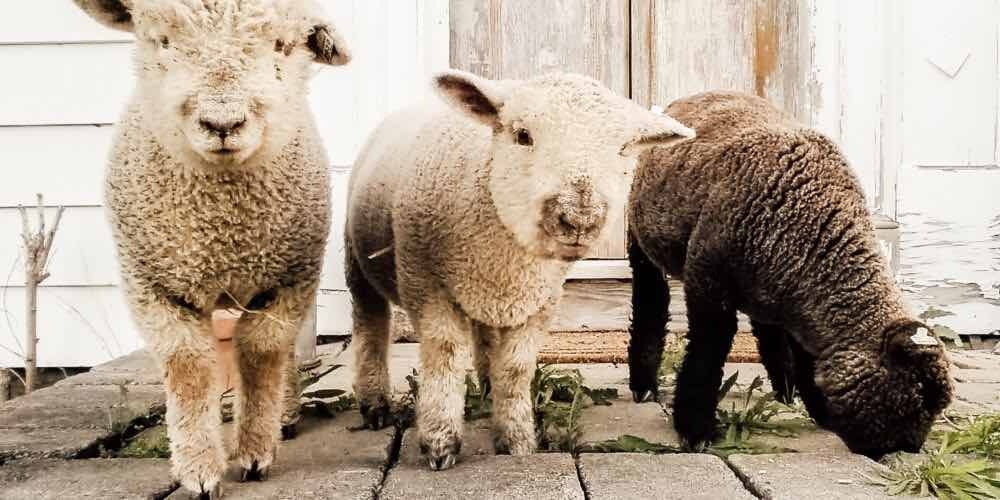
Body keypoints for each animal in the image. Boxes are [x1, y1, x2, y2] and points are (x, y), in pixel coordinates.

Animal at [74, 0, 350, 496]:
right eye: (163, 41)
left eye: (282, 45)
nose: (222, 123)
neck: (220, 230)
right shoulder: (154, 287)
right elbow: (188, 367)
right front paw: (199, 470)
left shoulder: (287, 282)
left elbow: (261, 355)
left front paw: (255, 452)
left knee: (287, 353)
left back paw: (285, 414)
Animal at [348, 71, 692, 472]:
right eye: (523, 135)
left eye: (624, 148)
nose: (579, 219)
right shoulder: (427, 286)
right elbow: (444, 357)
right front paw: (440, 443)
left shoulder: (539, 301)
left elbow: (515, 369)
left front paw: (515, 442)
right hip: (357, 260)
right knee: (370, 325)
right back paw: (374, 405)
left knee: (484, 339)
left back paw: (485, 387)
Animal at [624, 91, 952, 458]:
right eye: (917, 396)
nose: (910, 448)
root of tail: (685, 99)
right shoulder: (707, 281)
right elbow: (706, 354)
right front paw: (696, 430)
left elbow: (804, 354)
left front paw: (817, 405)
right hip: (641, 241)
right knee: (650, 303)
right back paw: (644, 385)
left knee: (766, 327)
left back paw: (784, 389)